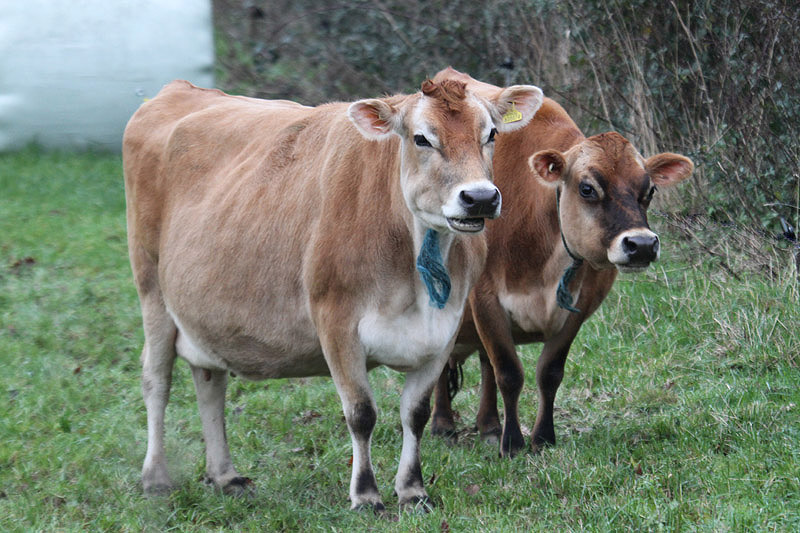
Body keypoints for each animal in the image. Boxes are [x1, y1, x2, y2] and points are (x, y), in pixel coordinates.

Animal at [120, 78, 544, 508]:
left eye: (490, 134)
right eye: (421, 138)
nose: (480, 198)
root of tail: (181, 88)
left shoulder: (444, 329)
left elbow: (416, 413)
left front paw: (412, 489)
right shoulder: (336, 322)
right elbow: (361, 413)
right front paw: (366, 495)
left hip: (205, 315)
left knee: (210, 383)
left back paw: (225, 475)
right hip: (151, 289)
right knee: (156, 380)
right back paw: (156, 477)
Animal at [432, 66, 692, 458]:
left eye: (649, 190)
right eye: (587, 188)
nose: (642, 245)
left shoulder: (578, 307)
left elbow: (548, 373)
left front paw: (542, 438)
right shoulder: (485, 298)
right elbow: (509, 372)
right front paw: (512, 444)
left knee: (484, 365)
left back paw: (489, 426)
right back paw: (442, 425)